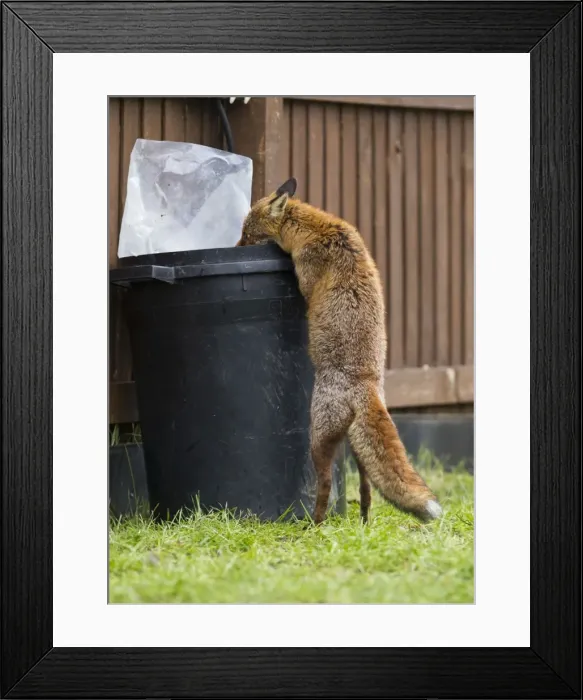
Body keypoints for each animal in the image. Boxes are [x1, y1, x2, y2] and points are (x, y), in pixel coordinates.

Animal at [237, 177, 442, 525]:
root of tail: (367, 384)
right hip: (357, 449)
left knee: (325, 485)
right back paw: (363, 522)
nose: (235, 247)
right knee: (367, 488)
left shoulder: (306, 276)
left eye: (248, 235)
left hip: (318, 437)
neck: (317, 228)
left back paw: (315, 525)